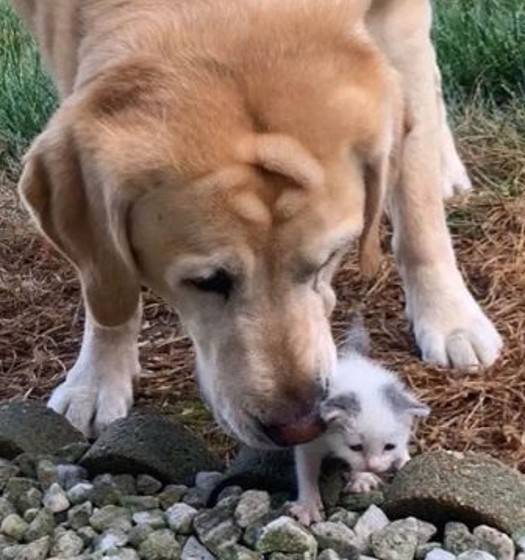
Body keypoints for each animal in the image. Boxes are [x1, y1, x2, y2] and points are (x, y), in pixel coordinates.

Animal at [11, 0, 500, 446]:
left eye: (328, 259)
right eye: (207, 281)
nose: (300, 427)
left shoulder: (397, 21)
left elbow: (417, 211)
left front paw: (450, 316)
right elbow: (104, 280)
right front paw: (97, 378)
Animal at [288, 348, 428, 528]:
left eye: (389, 446)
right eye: (356, 447)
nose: (373, 466)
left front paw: (361, 478)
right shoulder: (311, 435)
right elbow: (306, 470)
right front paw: (308, 506)